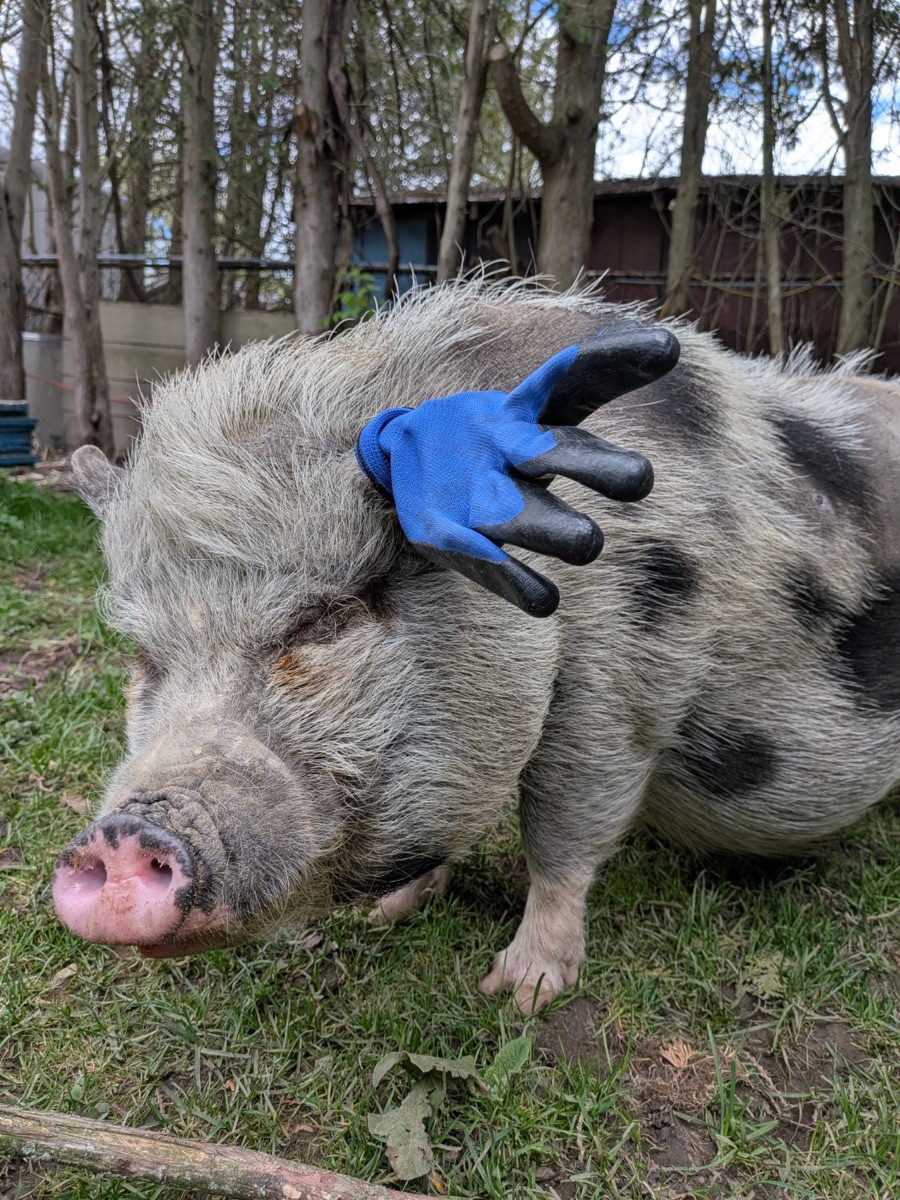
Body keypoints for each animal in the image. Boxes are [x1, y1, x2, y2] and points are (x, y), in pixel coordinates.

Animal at [55, 282, 900, 1013]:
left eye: (324, 622)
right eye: (146, 658)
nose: (124, 834)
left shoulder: (620, 689)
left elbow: (563, 832)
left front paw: (519, 994)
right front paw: (385, 916)